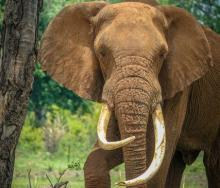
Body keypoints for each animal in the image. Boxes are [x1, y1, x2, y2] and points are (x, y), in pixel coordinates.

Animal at [39, 0, 220, 187]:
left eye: (162, 54)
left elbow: (156, 160)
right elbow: (106, 150)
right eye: (102, 53)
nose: (122, 182)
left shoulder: (179, 84)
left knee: (212, 163)